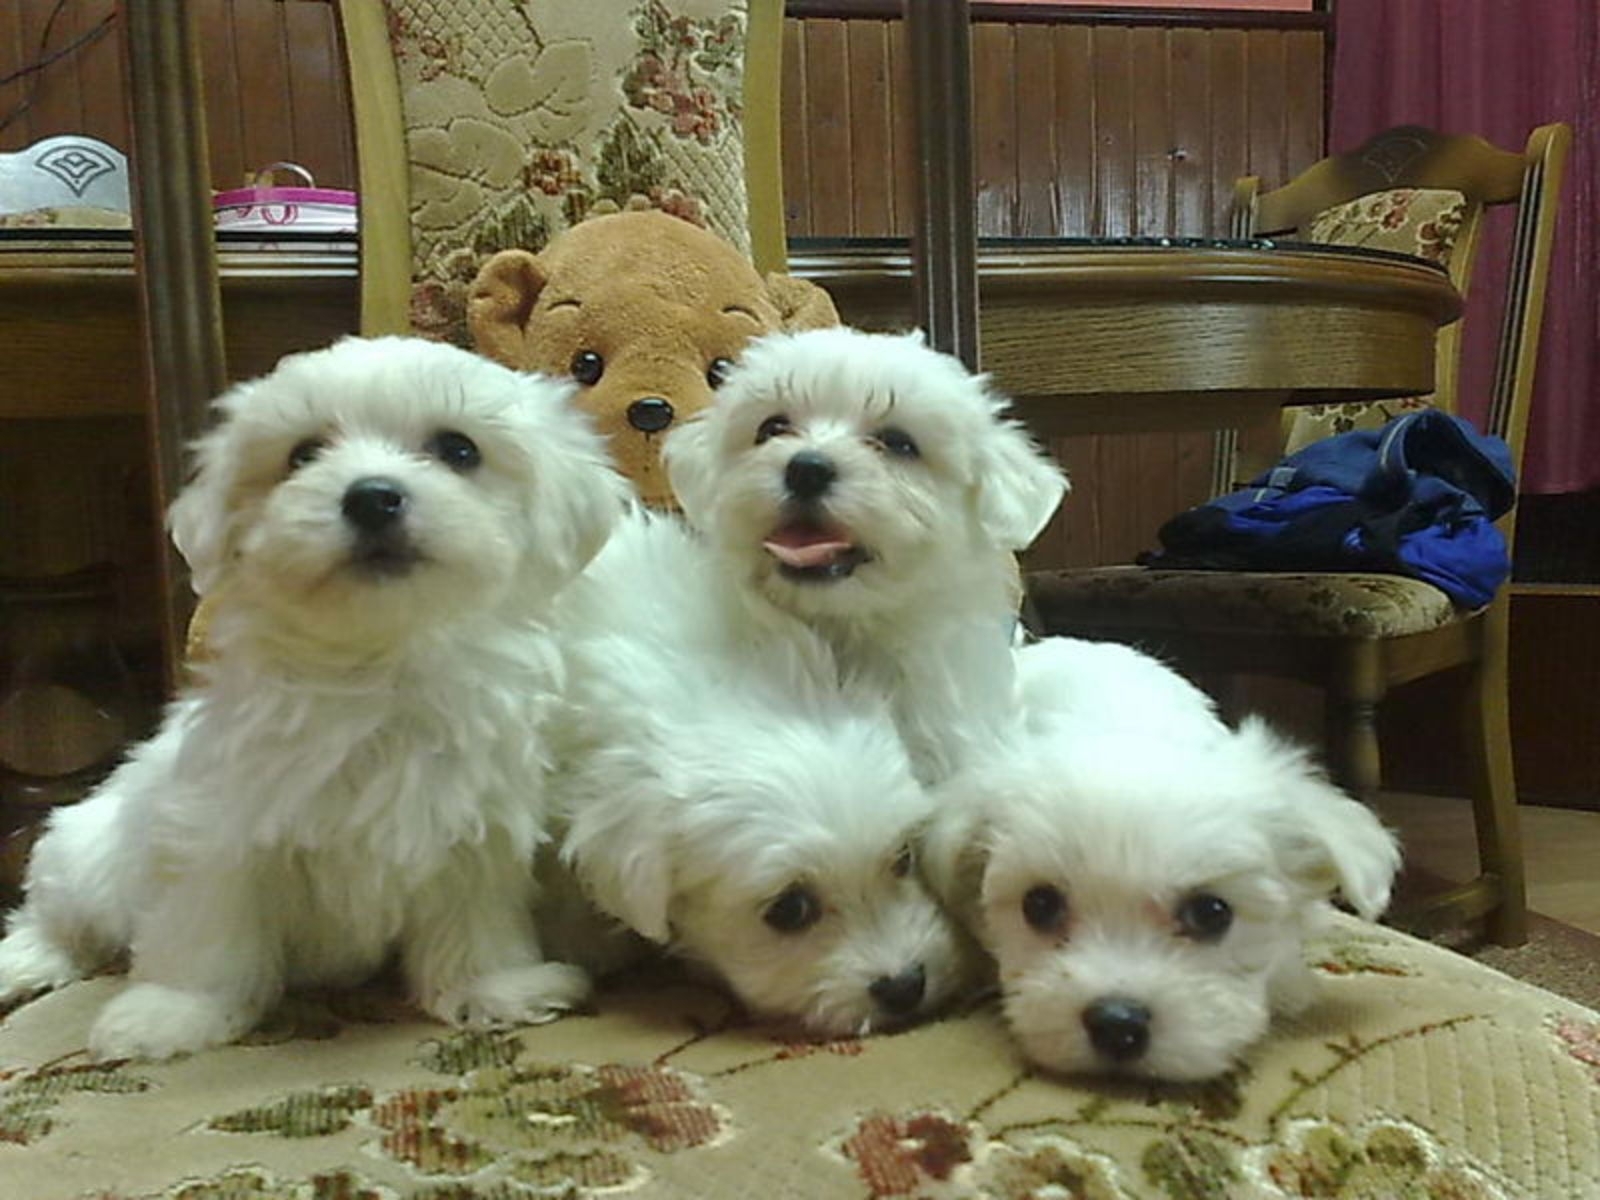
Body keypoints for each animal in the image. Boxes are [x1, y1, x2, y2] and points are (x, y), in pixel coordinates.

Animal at [0, 336, 630, 1060]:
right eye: (302, 455)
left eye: (459, 449)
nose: (374, 497)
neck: (375, 670)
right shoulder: (214, 832)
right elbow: (205, 930)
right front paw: (172, 1013)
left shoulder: (474, 830)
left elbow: (473, 920)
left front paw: (495, 987)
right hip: (83, 854)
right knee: (55, 917)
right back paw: (23, 961)